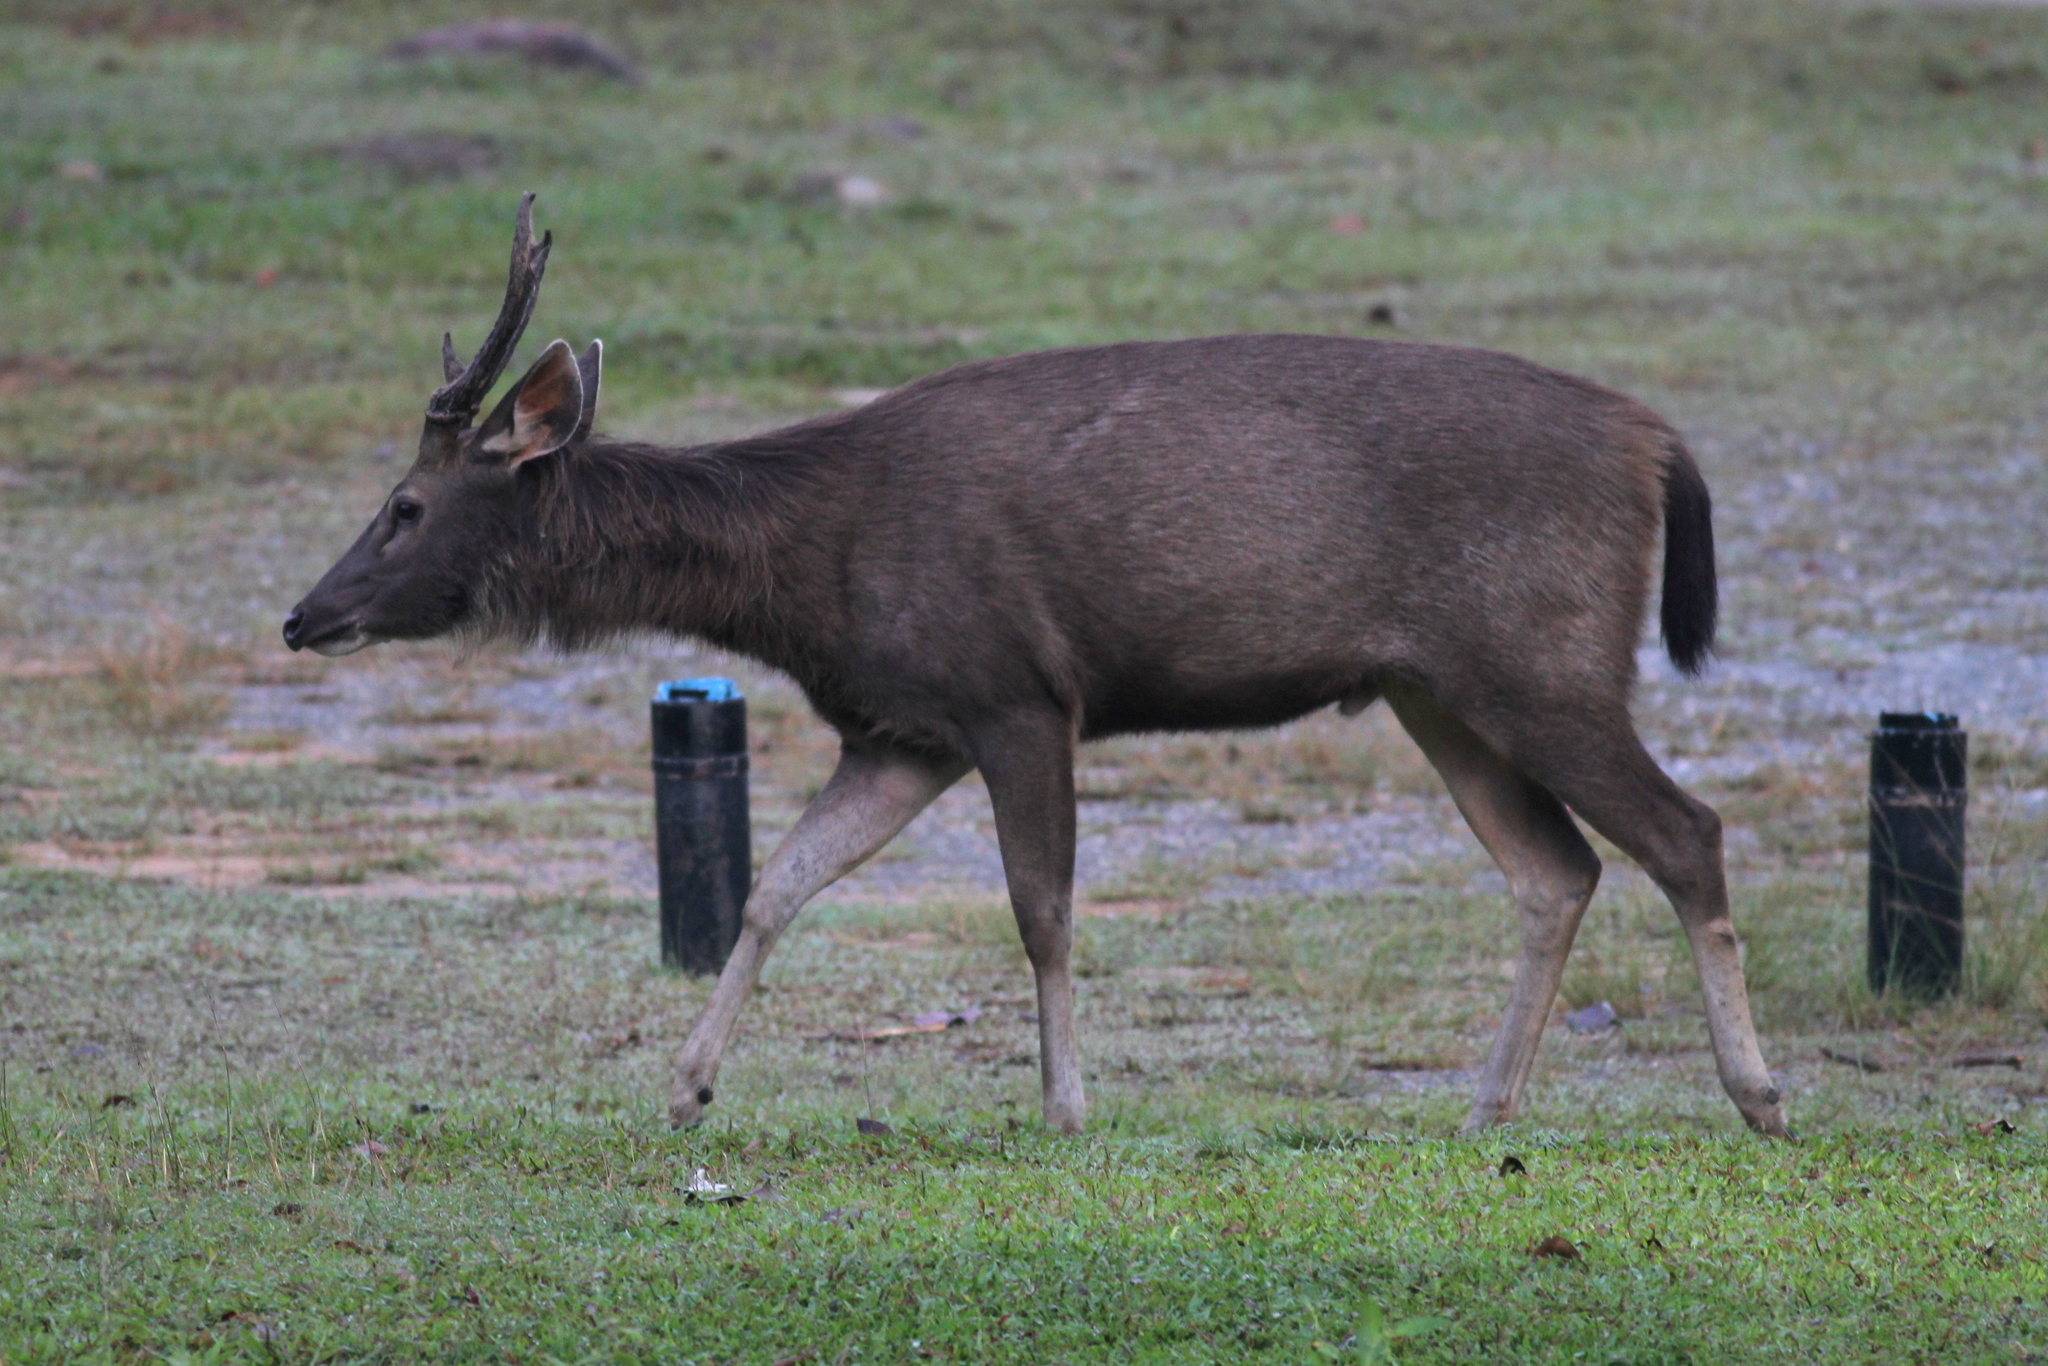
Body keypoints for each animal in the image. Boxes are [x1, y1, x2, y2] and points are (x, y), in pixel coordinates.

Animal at [285, 195, 1790, 1139]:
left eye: (404, 505)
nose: (304, 615)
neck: (805, 572)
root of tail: (1659, 443)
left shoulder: (1016, 688)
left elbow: (1041, 907)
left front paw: (1065, 1105)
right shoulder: (901, 726)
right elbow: (774, 886)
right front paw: (684, 1089)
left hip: (1544, 652)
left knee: (1685, 831)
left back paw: (1758, 1095)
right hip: (1438, 687)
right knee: (1556, 868)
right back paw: (1484, 1107)